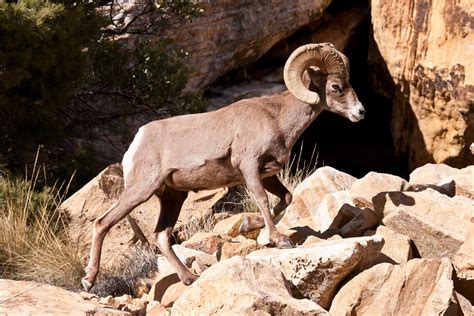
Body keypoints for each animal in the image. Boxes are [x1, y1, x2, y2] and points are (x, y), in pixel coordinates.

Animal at [81, 42, 364, 292]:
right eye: (336, 86)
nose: (360, 112)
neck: (277, 117)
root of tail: (138, 139)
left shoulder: (267, 174)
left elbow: (285, 198)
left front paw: (248, 227)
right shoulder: (249, 168)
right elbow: (263, 200)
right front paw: (280, 240)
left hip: (172, 197)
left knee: (161, 235)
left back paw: (189, 278)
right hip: (140, 190)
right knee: (102, 224)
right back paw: (88, 281)